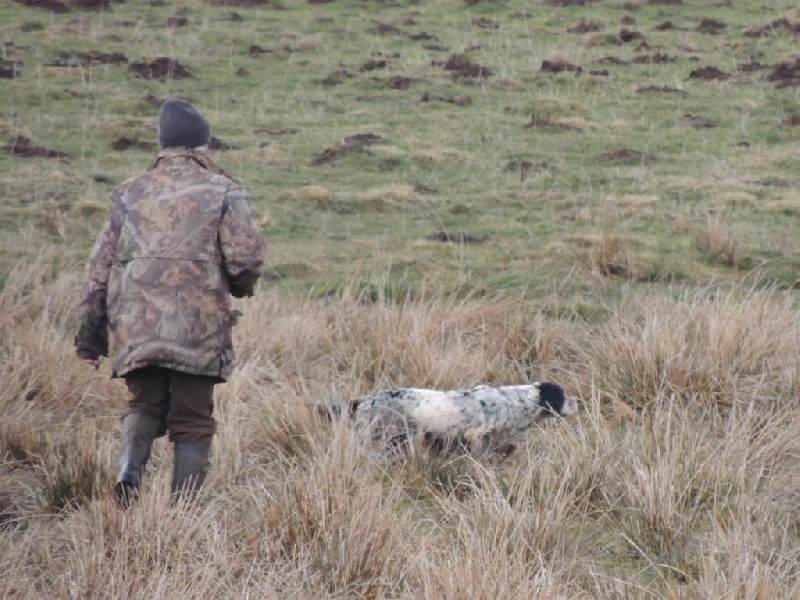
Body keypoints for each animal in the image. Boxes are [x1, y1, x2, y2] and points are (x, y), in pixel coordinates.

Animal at [322, 382, 580, 458]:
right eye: (562, 395)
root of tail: (365, 400)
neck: (511, 402)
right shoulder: (474, 435)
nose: (578, 401)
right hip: (370, 435)